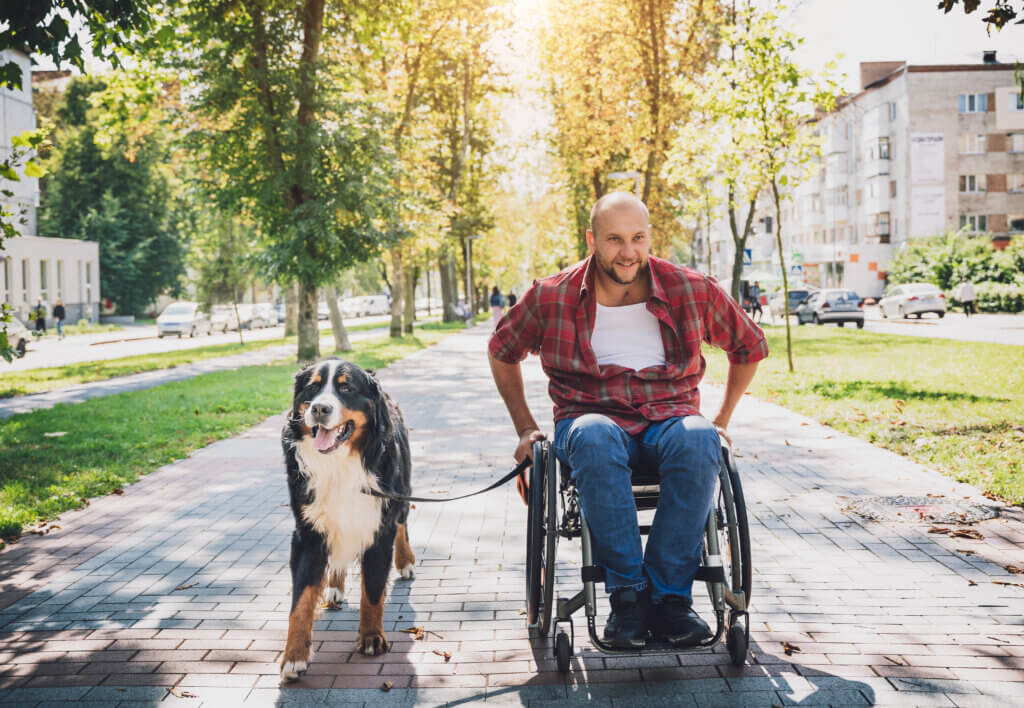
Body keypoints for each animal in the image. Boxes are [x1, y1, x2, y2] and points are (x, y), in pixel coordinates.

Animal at [280, 360, 415, 680]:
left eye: (346, 388)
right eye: (313, 387)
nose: (319, 408)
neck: (339, 465)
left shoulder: (379, 528)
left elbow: (373, 591)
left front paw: (371, 637)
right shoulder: (307, 534)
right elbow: (300, 602)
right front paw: (294, 656)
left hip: (401, 492)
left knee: (403, 525)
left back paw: (405, 562)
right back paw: (335, 586)